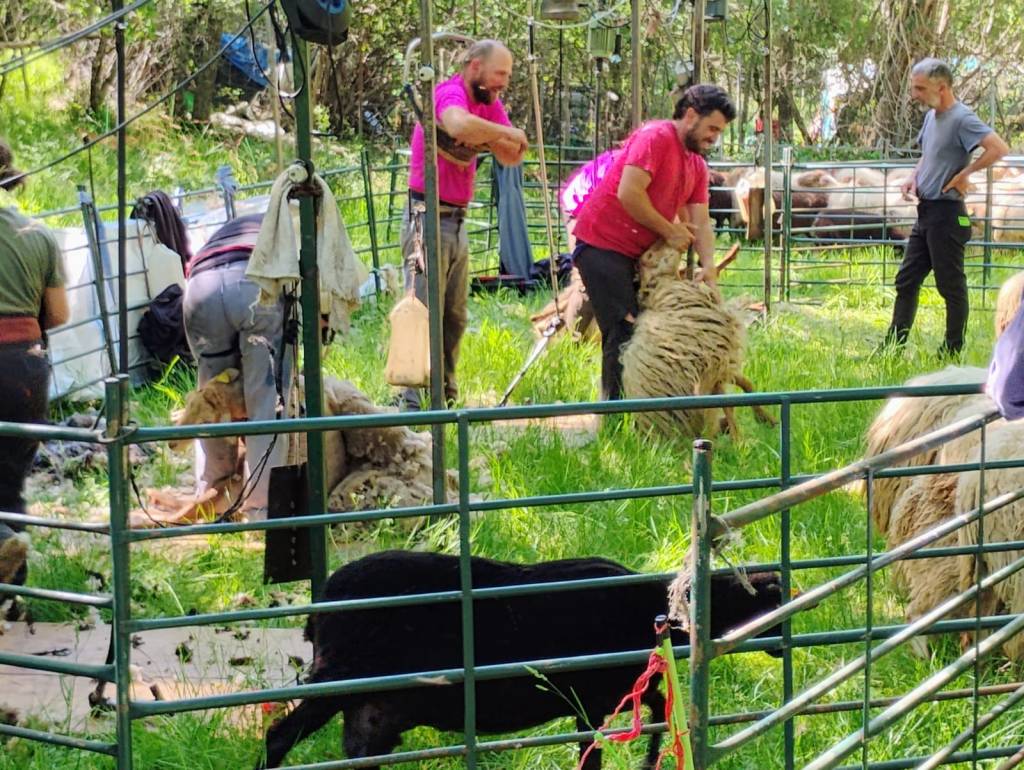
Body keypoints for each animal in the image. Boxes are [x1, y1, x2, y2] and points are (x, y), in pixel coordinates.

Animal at [257, 550, 785, 769]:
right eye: (772, 601)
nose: (785, 644)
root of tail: (323, 599)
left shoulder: (615, 692)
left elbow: (656, 707)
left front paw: (653, 757)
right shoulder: (590, 701)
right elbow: (600, 749)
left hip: (375, 709)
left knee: (359, 751)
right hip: (339, 677)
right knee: (278, 735)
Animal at [620, 243, 775, 438]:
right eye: (649, 255)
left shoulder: (718, 366)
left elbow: (746, 385)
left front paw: (766, 419)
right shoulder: (712, 367)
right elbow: (729, 403)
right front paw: (739, 440)